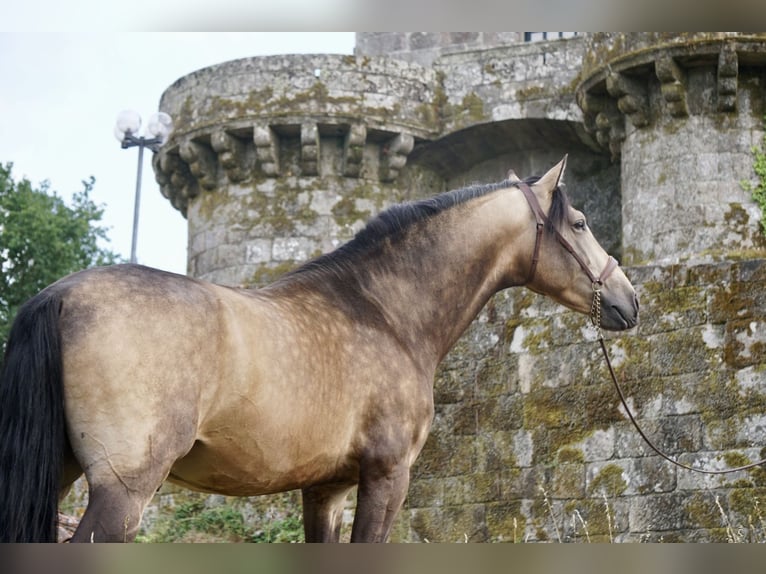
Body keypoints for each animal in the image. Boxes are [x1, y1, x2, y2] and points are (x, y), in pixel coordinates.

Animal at [0, 159, 640, 544]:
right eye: (579, 222)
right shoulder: (386, 475)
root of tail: (57, 296)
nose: (628, 300)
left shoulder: (325, 489)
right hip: (124, 491)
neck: (381, 311)